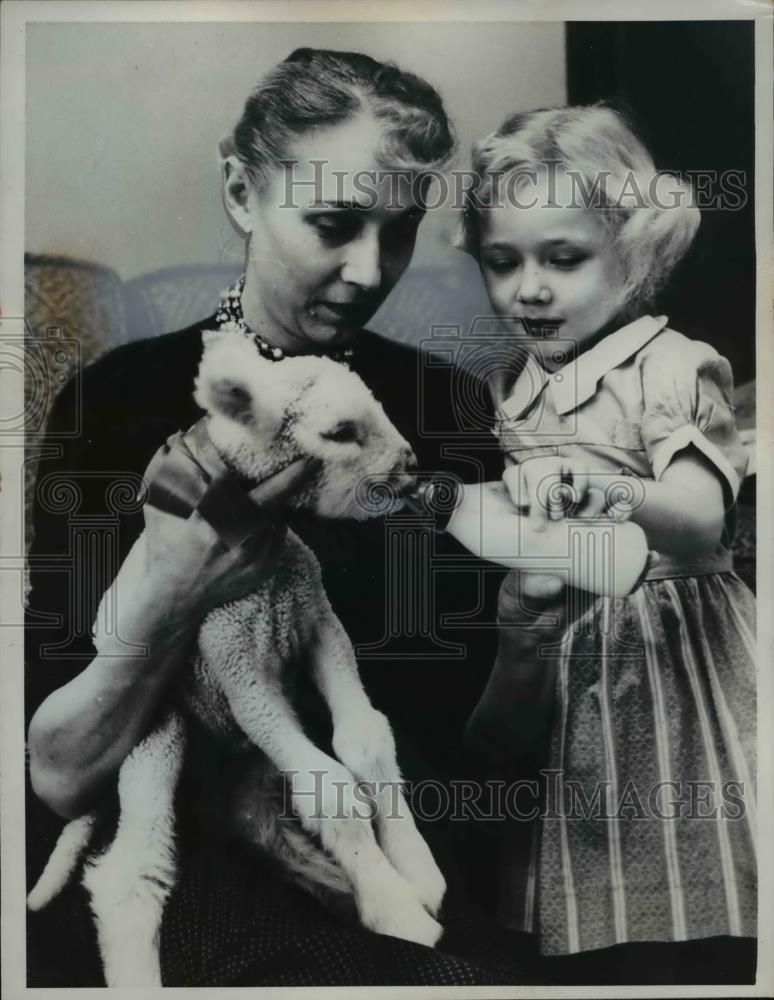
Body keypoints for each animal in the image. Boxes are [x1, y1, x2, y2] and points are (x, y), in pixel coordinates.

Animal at [28, 332, 448, 988]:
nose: (410, 466)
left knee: (267, 829)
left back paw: (338, 886)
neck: (269, 581)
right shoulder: (235, 662)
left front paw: (416, 871)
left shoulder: (318, 622)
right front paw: (399, 911)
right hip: (158, 730)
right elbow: (330, 788)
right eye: (339, 431)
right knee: (129, 875)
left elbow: (366, 740)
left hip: (247, 772)